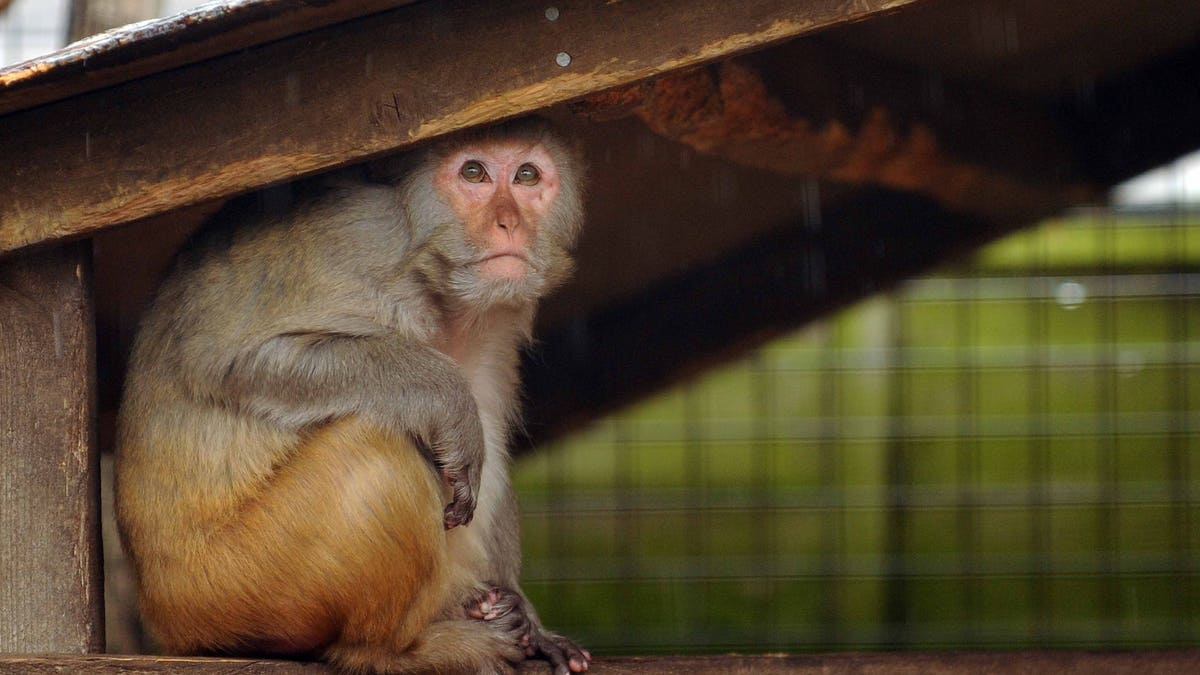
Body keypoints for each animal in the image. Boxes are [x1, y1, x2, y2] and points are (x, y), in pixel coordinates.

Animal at [114, 118, 592, 667]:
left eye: (527, 175)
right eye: (473, 172)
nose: (508, 223)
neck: (439, 284)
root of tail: (158, 608)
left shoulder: (498, 322)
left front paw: (529, 617)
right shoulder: (359, 240)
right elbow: (225, 362)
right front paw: (447, 397)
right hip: (226, 587)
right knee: (375, 456)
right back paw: (393, 650)